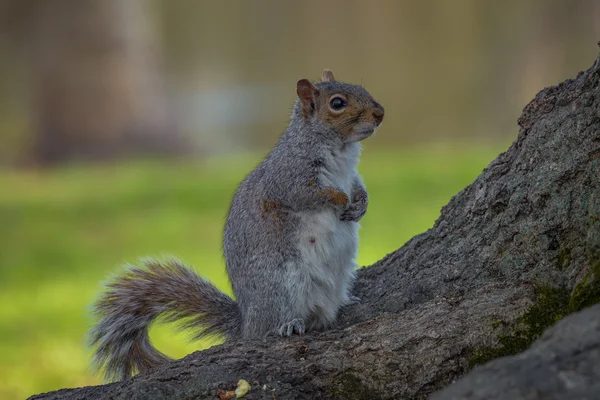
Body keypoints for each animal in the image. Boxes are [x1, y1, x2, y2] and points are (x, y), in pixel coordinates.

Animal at [88, 69, 384, 382]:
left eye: (362, 89)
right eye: (337, 103)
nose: (380, 113)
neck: (340, 148)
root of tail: (247, 322)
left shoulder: (350, 174)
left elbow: (358, 186)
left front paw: (360, 204)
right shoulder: (289, 177)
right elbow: (309, 194)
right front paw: (341, 199)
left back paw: (345, 302)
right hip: (283, 284)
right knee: (275, 323)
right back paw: (288, 325)